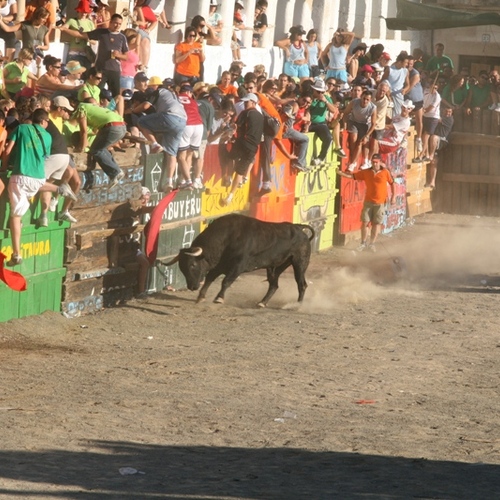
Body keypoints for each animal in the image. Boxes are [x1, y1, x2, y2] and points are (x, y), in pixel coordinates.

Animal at [160, 214, 314, 306]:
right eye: (182, 268)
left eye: (192, 265)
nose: (192, 287)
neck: (227, 238)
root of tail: (299, 228)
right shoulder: (219, 266)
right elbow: (209, 278)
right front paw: (201, 296)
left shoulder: (238, 266)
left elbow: (226, 281)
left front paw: (219, 298)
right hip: (274, 267)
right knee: (274, 285)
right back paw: (262, 303)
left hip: (300, 263)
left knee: (302, 284)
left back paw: (298, 305)